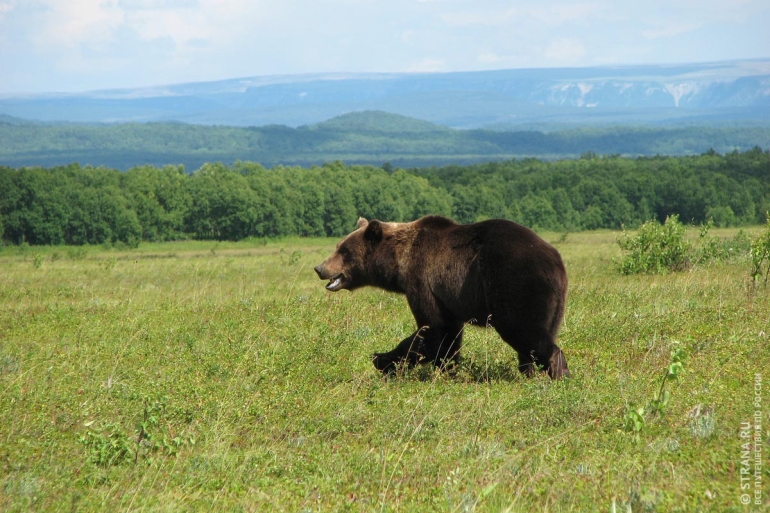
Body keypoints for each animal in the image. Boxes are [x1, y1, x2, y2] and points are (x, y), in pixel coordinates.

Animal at [314, 214, 568, 378]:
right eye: (338, 246)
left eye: (344, 251)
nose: (319, 267)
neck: (399, 262)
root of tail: (555, 260)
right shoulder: (448, 297)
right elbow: (449, 333)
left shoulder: (424, 280)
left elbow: (434, 329)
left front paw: (383, 359)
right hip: (552, 302)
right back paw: (529, 373)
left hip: (514, 282)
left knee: (523, 330)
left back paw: (557, 372)